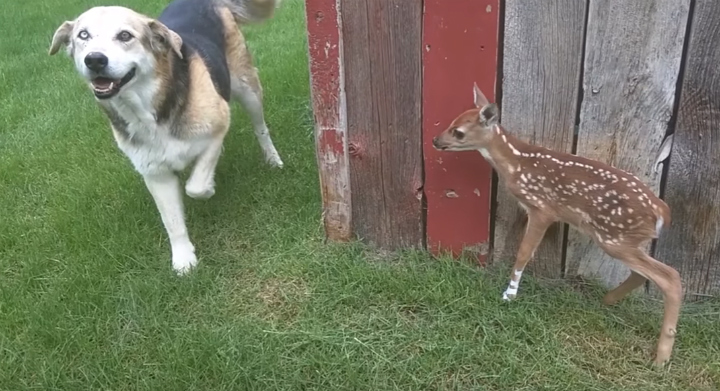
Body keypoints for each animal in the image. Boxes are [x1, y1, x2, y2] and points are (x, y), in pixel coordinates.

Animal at [47, 0, 282, 276]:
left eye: (125, 35)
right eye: (83, 35)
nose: (94, 60)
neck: (148, 111)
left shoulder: (220, 123)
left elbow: (195, 186)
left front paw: (208, 187)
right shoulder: (155, 173)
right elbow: (171, 220)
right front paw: (183, 259)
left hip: (246, 88)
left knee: (260, 128)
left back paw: (272, 159)